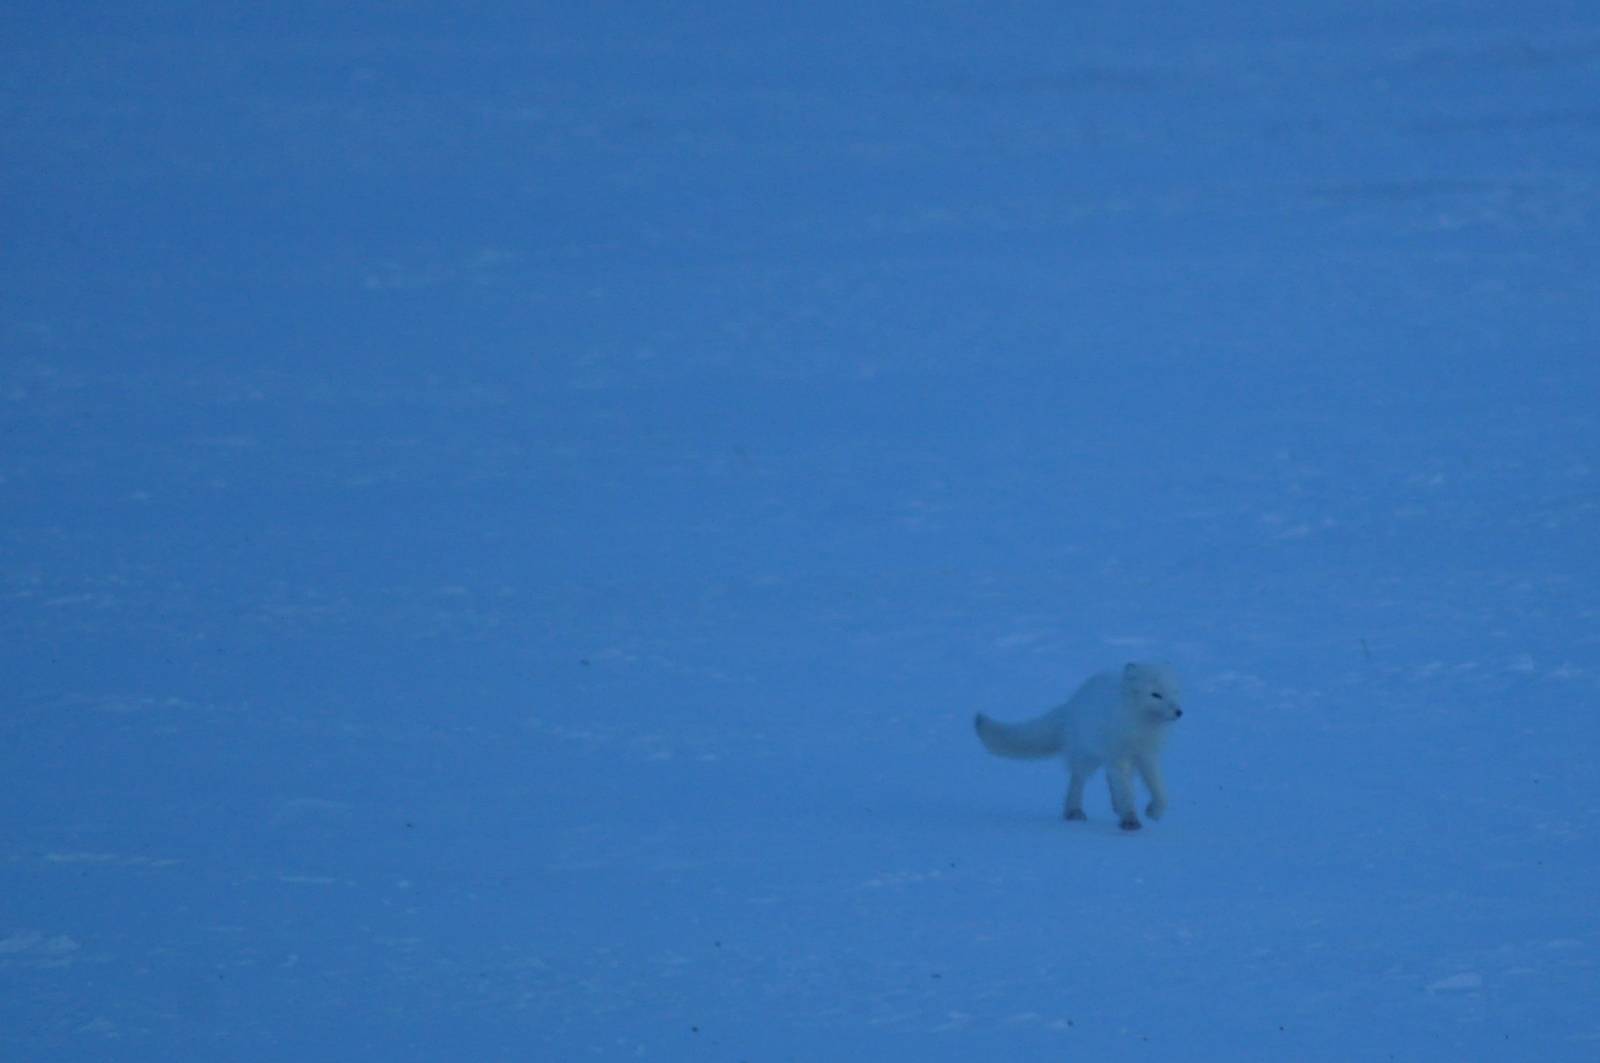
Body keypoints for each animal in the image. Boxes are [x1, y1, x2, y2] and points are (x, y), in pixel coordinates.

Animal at [975, 661, 1183, 831]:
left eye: (1174, 691)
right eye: (1156, 695)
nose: (1179, 711)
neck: (1140, 727)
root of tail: (1071, 705)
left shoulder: (1147, 756)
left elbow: (1159, 790)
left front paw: (1154, 811)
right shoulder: (1119, 756)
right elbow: (1126, 791)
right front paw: (1131, 820)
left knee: (1109, 778)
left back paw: (1115, 806)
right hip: (1086, 757)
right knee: (1078, 779)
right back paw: (1073, 810)